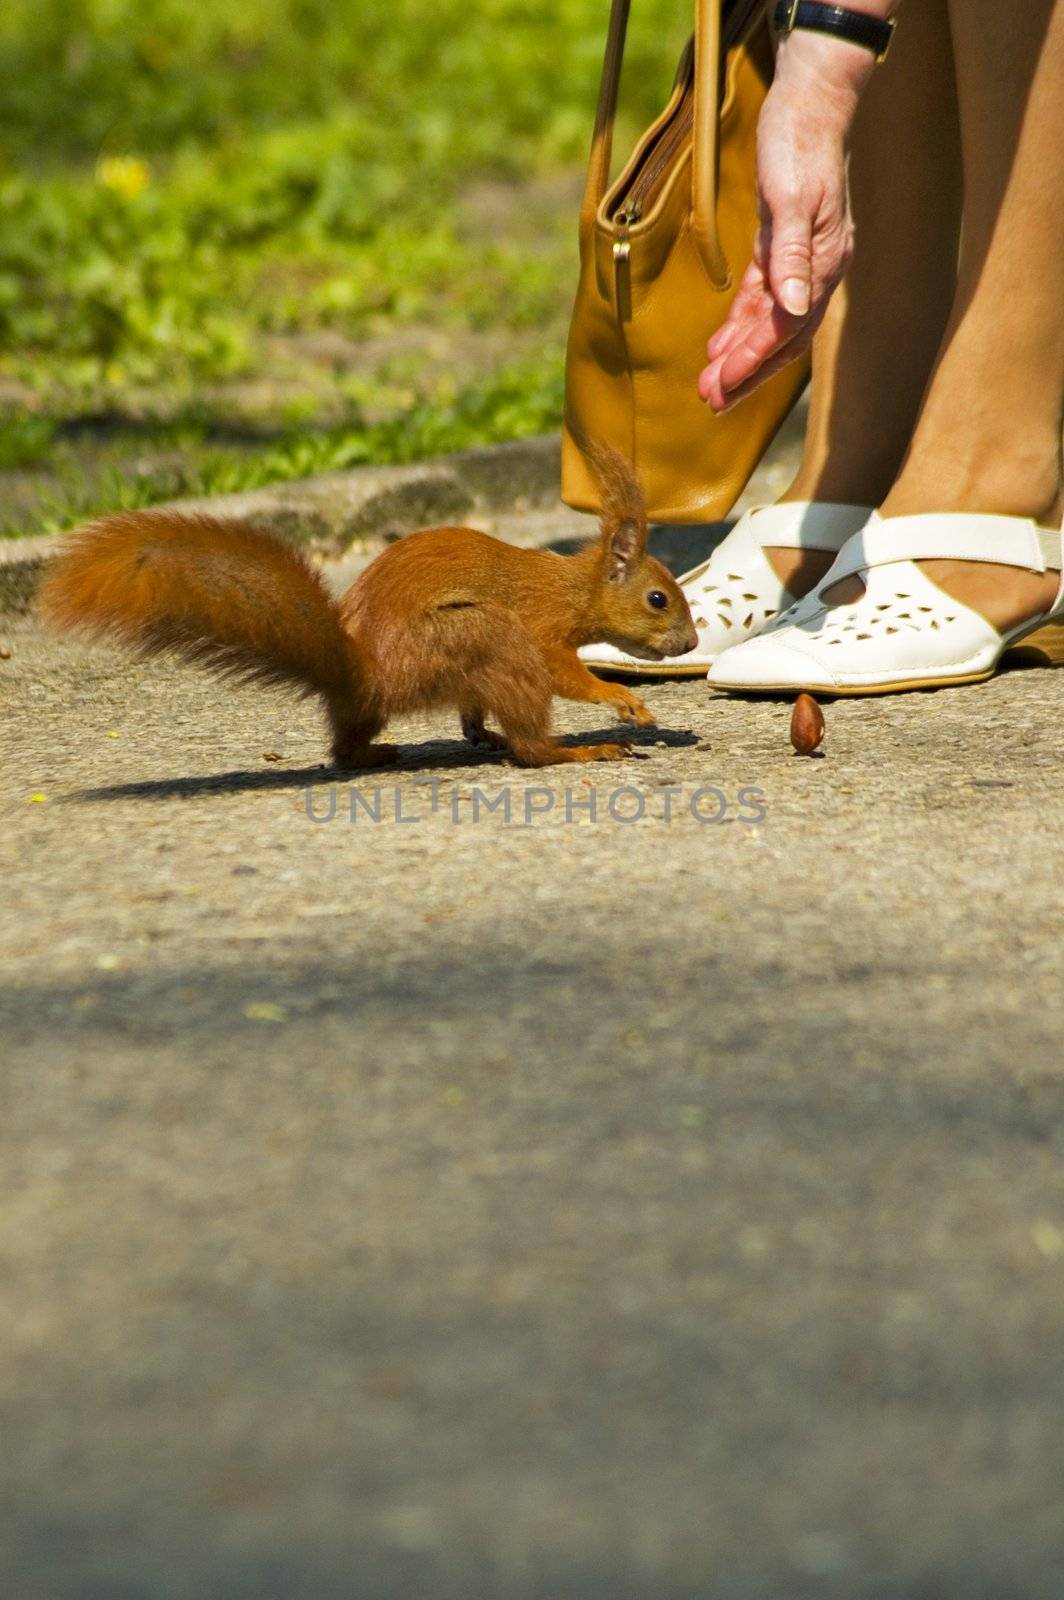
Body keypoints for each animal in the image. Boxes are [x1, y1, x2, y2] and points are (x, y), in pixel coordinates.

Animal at [37, 444, 697, 768]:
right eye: (658, 599)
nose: (690, 643)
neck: (572, 587)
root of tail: (369, 672)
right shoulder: (540, 626)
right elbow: (565, 673)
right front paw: (623, 702)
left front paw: (477, 728)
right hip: (481, 633)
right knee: (532, 752)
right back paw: (577, 749)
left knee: (346, 750)